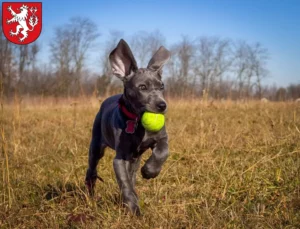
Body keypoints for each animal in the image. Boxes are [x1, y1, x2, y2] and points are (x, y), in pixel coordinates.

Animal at [85, 39, 171, 215]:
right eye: (142, 87)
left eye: (162, 86)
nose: (162, 105)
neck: (138, 122)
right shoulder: (120, 158)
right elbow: (125, 184)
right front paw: (133, 210)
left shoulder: (161, 138)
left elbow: (162, 152)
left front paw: (149, 171)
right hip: (96, 146)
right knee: (92, 169)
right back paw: (90, 193)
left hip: (134, 158)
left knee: (132, 174)